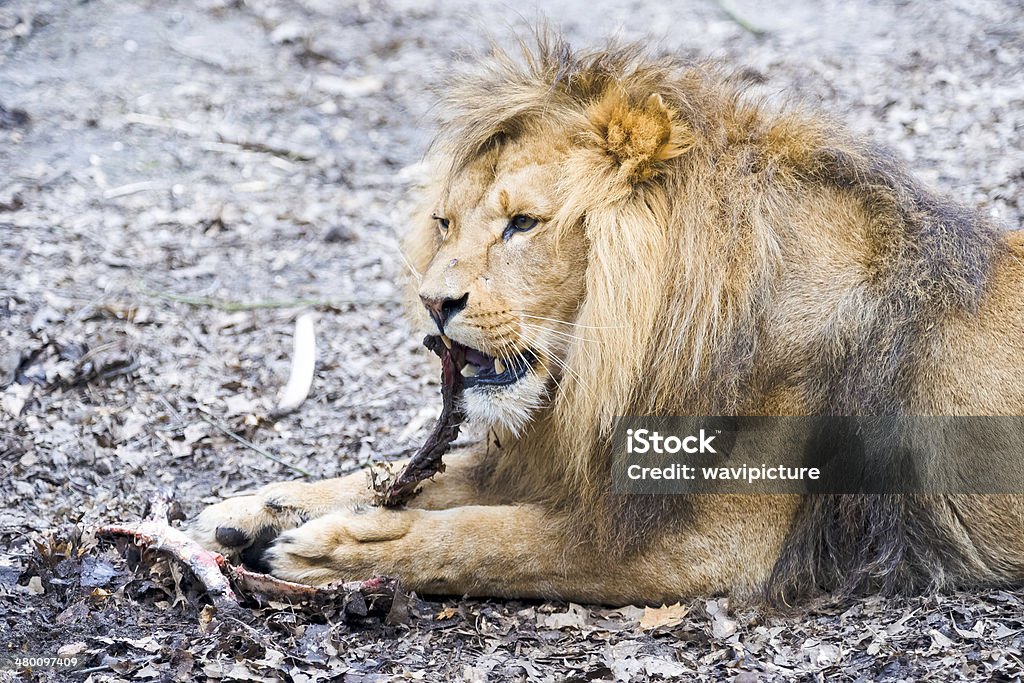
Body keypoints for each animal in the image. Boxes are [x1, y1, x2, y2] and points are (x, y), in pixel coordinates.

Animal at [192, 34, 1024, 606]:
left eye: (522, 224)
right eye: (444, 222)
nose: (433, 302)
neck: (614, 357)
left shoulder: (707, 545)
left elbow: (500, 539)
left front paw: (334, 551)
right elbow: (423, 476)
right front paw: (252, 508)